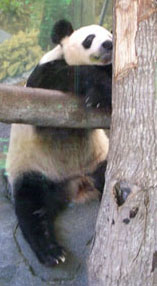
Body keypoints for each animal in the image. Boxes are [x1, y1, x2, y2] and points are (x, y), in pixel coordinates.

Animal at [5, 19, 111, 266]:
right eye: (90, 38)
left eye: (112, 36)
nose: (109, 45)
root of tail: (78, 183)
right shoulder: (43, 75)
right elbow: (65, 77)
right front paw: (100, 95)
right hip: (34, 168)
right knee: (32, 207)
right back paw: (51, 252)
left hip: (98, 160)